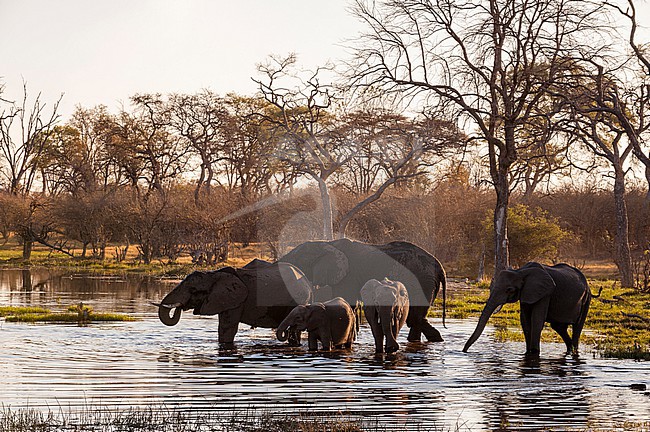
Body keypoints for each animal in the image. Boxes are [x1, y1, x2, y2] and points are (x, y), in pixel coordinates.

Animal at [155, 261, 312, 348]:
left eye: (193, 290)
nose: (180, 307)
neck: (212, 274)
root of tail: (306, 280)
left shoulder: (237, 300)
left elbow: (227, 328)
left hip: (298, 299)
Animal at [280, 239, 446, 342]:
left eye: (297, 259)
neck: (326, 244)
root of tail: (440, 266)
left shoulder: (348, 276)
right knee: (417, 318)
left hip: (422, 281)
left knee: (415, 317)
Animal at [463, 262, 592, 357]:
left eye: (509, 290)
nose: (464, 351)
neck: (520, 271)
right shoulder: (526, 293)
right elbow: (525, 321)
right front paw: (528, 352)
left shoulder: (546, 293)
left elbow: (537, 320)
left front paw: (534, 353)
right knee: (558, 327)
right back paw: (570, 349)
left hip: (586, 298)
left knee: (577, 327)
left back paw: (574, 350)